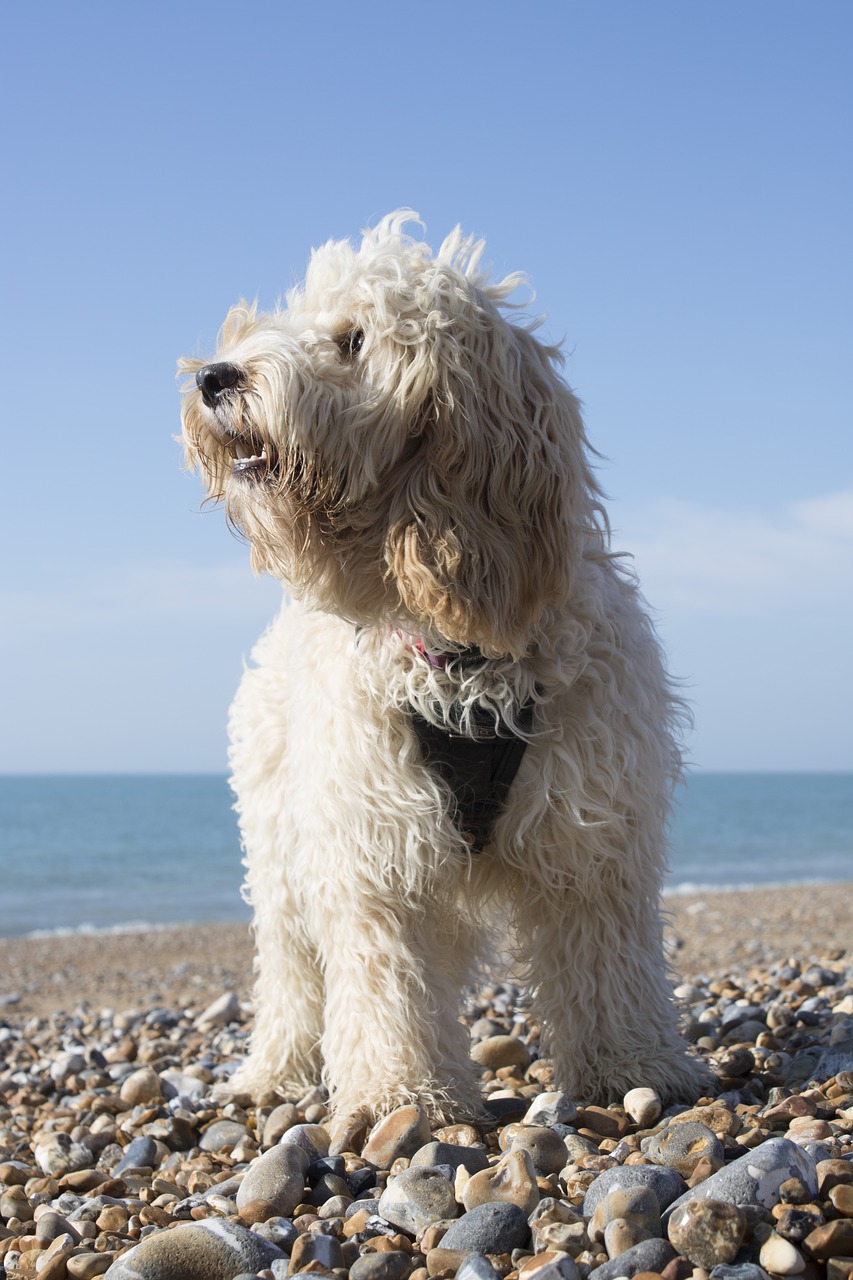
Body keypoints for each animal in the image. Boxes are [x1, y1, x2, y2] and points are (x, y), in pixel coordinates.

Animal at [175, 215, 701, 1126]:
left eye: (353, 339)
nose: (214, 374)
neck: (462, 651)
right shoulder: (371, 845)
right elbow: (387, 984)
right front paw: (402, 1093)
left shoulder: (592, 832)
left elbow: (605, 961)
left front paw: (627, 1064)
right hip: (279, 846)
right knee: (292, 967)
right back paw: (278, 1069)